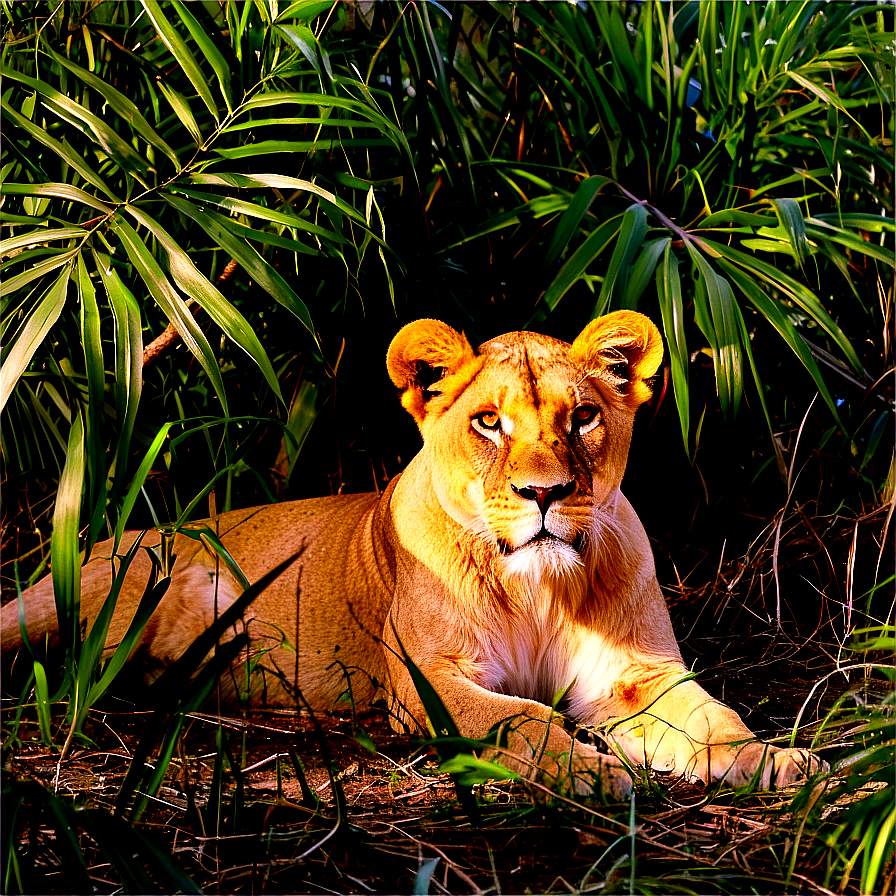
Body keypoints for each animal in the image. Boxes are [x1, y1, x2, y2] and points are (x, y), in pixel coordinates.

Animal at [2, 312, 825, 796]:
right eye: (489, 422)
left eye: (584, 417)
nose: (546, 493)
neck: (537, 586)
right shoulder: (430, 681)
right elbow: (524, 720)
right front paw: (590, 771)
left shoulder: (636, 677)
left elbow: (713, 719)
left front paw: (777, 761)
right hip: (109, 586)